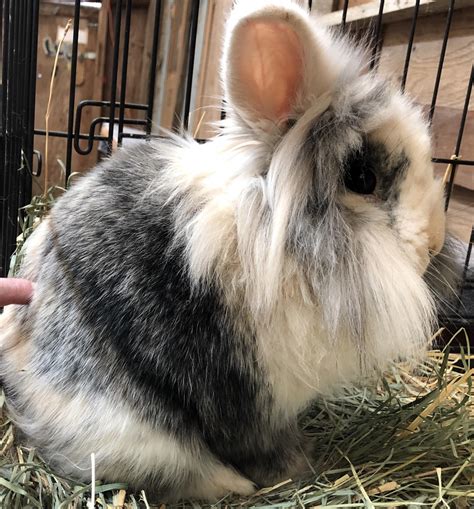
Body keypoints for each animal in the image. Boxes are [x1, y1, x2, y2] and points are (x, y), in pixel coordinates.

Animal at [0, 0, 460, 500]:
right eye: (361, 178)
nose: (433, 243)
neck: (270, 243)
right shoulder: (247, 393)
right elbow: (259, 444)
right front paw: (297, 469)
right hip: (125, 429)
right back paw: (231, 484)